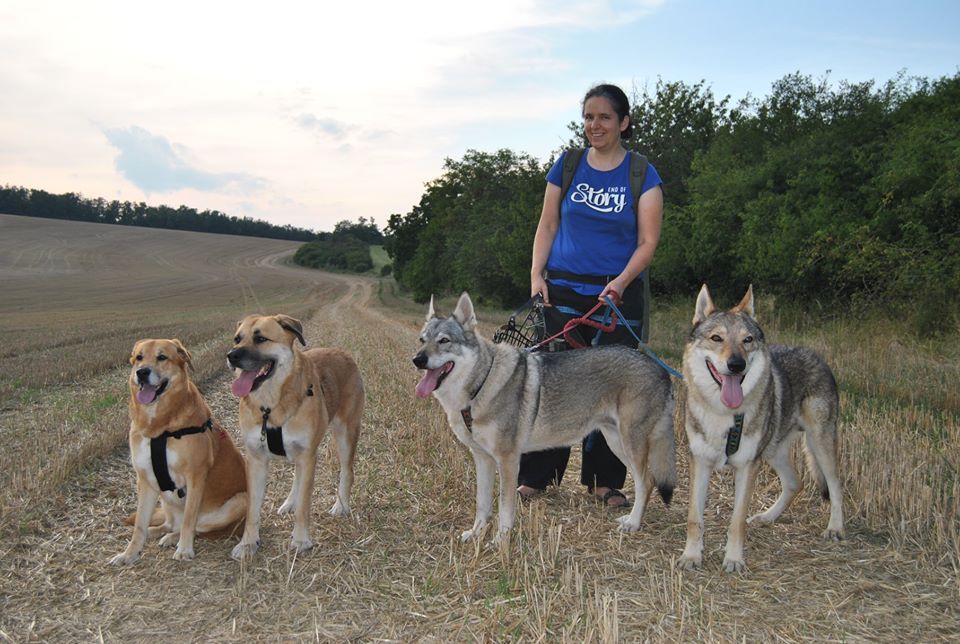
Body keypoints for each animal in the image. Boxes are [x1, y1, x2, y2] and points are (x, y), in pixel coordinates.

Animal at [110, 338, 249, 564]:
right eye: (139, 357)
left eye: (162, 357)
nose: (142, 372)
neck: (159, 428)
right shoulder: (146, 480)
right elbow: (139, 524)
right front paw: (129, 554)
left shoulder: (195, 477)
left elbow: (189, 520)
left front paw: (184, 550)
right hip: (165, 498)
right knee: (168, 523)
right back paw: (156, 531)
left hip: (239, 501)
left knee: (196, 527)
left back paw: (173, 537)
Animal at [225, 314, 364, 560]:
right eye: (237, 339)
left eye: (261, 338)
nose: (231, 356)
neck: (270, 405)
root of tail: (343, 353)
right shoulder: (256, 460)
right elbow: (252, 509)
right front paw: (248, 543)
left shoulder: (308, 456)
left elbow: (304, 507)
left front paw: (300, 540)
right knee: (297, 478)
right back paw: (289, 502)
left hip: (345, 433)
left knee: (347, 471)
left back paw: (341, 506)